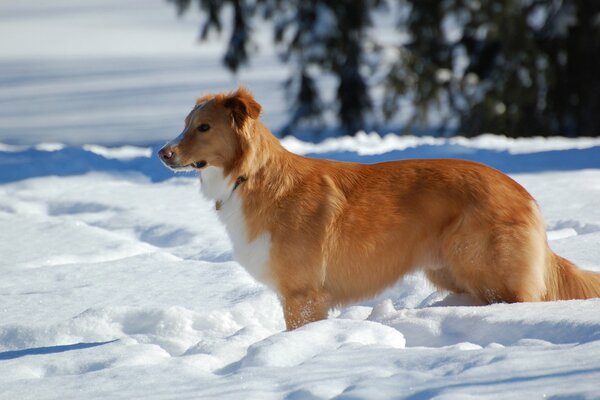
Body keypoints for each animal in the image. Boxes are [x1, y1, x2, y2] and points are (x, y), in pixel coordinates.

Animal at [158, 86, 600, 330]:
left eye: (203, 128)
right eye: (185, 124)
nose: (163, 153)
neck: (249, 175)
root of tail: (522, 191)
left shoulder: (303, 296)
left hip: (488, 272)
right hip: (453, 273)